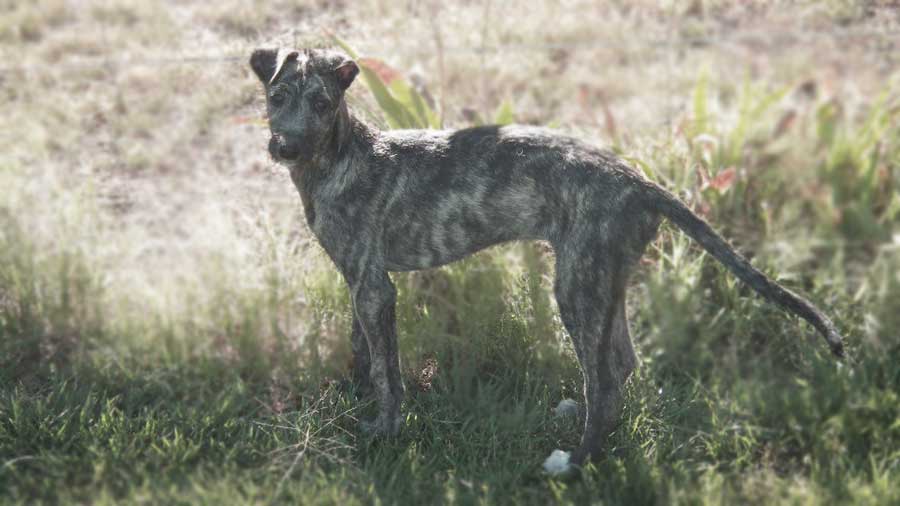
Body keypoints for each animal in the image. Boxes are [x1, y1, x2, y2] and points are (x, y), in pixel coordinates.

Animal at [248, 46, 844, 474]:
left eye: (322, 103)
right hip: (604, 279)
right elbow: (364, 351)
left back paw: (574, 462)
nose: (285, 148)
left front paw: (385, 430)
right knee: (620, 364)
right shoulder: (361, 282)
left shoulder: (374, 287)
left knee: (604, 381)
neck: (342, 157)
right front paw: (355, 397)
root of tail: (641, 184)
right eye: (276, 96)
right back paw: (583, 421)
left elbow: (386, 368)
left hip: (576, 287)